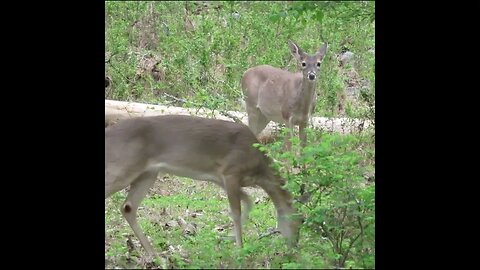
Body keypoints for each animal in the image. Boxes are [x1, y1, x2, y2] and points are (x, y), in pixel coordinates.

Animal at [105, 114, 302, 258]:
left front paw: (227, 237)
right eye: (300, 220)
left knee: (128, 207)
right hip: (123, 166)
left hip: (148, 173)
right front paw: (240, 249)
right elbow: (236, 212)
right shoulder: (231, 171)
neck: (259, 167)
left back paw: (155, 255)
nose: (295, 246)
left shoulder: (219, 178)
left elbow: (248, 201)